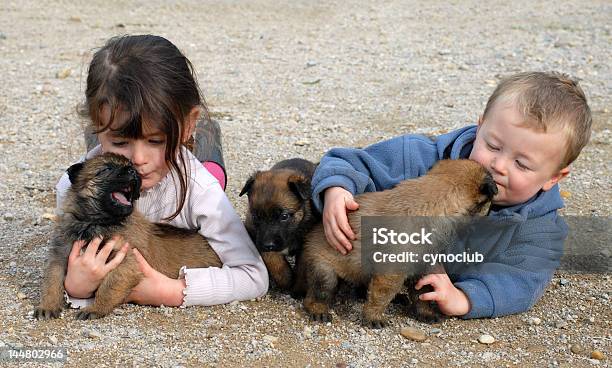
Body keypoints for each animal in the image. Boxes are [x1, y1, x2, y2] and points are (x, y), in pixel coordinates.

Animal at [34, 152, 222, 320]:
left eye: (130, 166)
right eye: (106, 169)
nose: (133, 171)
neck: (96, 223)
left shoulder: (127, 262)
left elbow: (107, 286)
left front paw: (95, 309)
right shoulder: (59, 256)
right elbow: (51, 281)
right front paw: (47, 306)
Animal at [240, 158, 320, 290]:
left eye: (284, 216)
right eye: (256, 217)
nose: (268, 245)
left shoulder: (306, 244)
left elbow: (302, 268)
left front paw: (298, 289)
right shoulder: (260, 241)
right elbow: (275, 263)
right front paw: (286, 280)